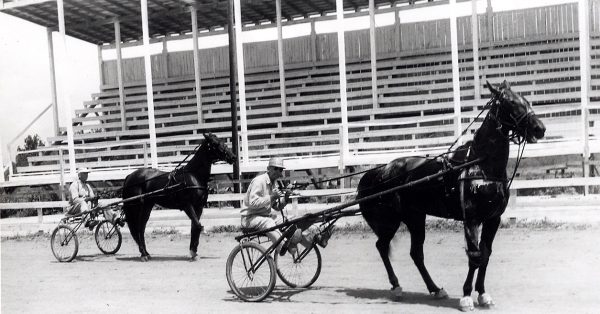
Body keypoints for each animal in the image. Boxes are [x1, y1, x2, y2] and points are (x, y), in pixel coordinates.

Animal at [120, 131, 236, 262]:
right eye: (215, 143)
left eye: (223, 141)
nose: (233, 157)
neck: (193, 176)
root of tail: (129, 176)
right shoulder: (187, 205)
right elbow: (197, 225)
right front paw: (193, 252)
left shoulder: (199, 207)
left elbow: (194, 227)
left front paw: (194, 252)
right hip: (135, 207)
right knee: (137, 229)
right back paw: (143, 254)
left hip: (146, 206)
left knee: (141, 227)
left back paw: (146, 253)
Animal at [358, 79, 548, 310]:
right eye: (510, 102)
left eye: (526, 100)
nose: (540, 128)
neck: (480, 166)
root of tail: (380, 171)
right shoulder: (471, 219)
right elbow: (475, 257)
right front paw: (466, 296)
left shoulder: (493, 219)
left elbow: (485, 255)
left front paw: (483, 294)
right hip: (391, 221)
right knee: (382, 246)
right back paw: (396, 286)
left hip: (415, 217)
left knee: (415, 254)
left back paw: (435, 289)